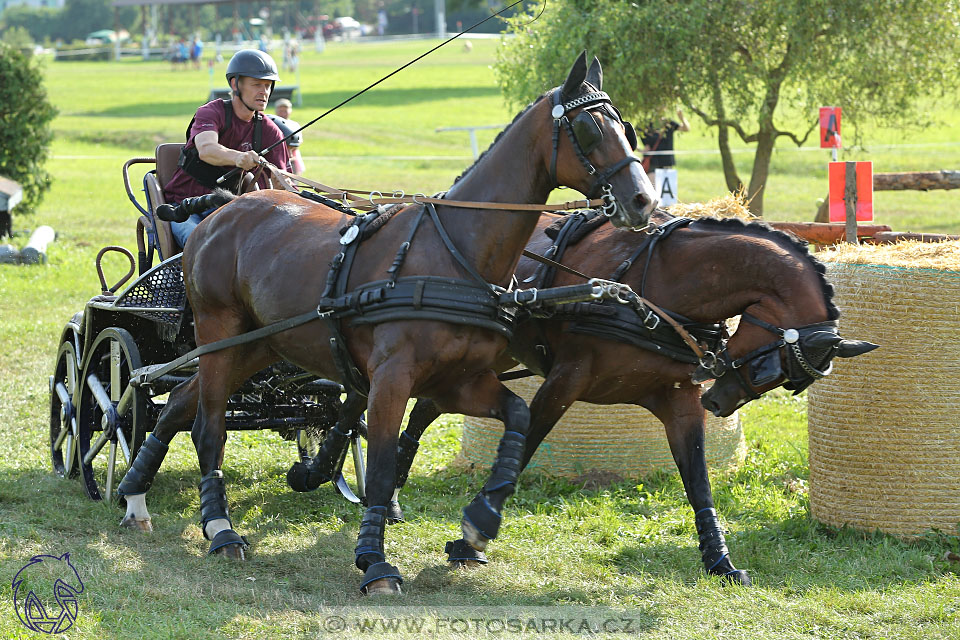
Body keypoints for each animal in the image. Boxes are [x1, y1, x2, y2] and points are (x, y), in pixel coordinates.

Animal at [116, 51, 660, 596]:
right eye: (589, 128)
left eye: (626, 129)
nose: (643, 201)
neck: (455, 252)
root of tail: (221, 209)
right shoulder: (392, 379)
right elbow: (378, 467)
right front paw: (374, 560)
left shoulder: (459, 381)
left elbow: (519, 420)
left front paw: (479, 522)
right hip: (220, 335)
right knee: (207, 425)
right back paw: (220, 527)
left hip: (261, 345)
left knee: (179, 404)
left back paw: (135, 494)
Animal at [386, 210, 872, 584]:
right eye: (771, 367)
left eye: (788, 384)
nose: (718, 403)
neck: (659, 289)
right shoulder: (565, 379)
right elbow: (524, 446)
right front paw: (473, 537)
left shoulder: (679, 399)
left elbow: (698, 480)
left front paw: (720, 560)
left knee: (429, 404)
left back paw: (392, 486)